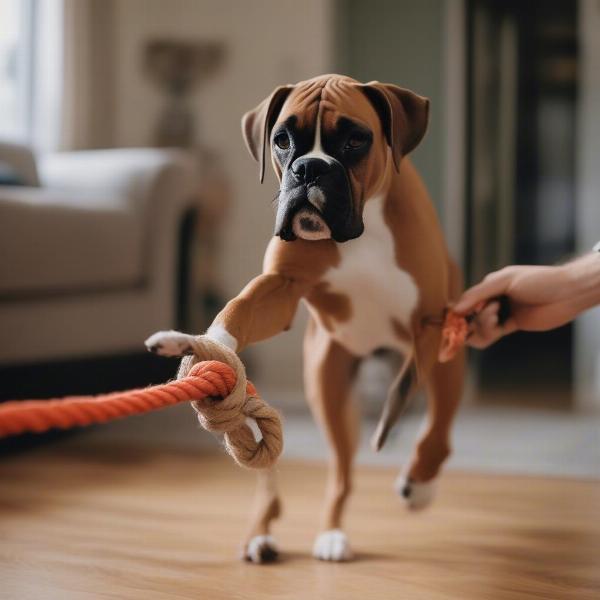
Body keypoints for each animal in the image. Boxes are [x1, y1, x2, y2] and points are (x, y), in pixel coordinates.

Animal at [145, 74, 464, 564]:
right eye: (281, 141)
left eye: (355, 139)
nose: (309, 168)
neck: (363, 228)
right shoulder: (279, 288)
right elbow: (237, 309)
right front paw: (203, 344)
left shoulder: (433, 325)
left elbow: (428, 425)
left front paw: (418, 481)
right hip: (326, 386)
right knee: (334, 474)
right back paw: (280, 534)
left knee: (428, 431)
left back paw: (413, 487)